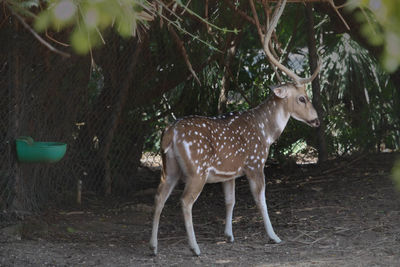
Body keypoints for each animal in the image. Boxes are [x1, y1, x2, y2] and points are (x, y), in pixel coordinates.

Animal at [148, 0, 320, 256]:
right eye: (302, 98)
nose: (317, 119)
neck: (266, 133)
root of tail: (170, 133)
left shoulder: (228, 173)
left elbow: (231, 201)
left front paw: (229, 236)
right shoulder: (255, 163)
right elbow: (261, 200)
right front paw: (274, 236)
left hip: (169, 168)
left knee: (159, 197)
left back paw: (153, 247)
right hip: (196, 170)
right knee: (185, 201)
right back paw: (195, 248)